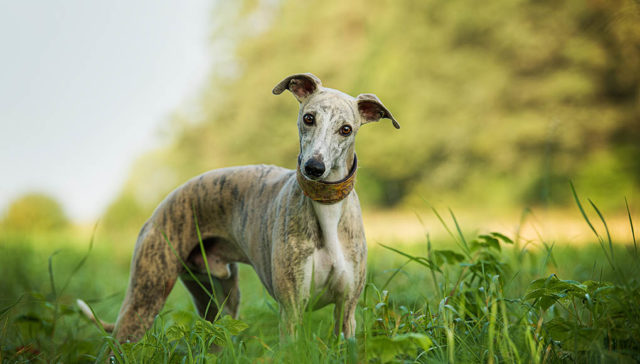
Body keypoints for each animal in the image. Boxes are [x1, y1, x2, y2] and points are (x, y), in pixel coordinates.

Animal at [79, 73, 400, 342]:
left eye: (346, 129)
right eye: (309, 118)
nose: (314, 167)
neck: (326, 207)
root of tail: (161, 207)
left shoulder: (347, 310)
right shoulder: (292, 308)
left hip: (220, 300)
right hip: (146, 295)